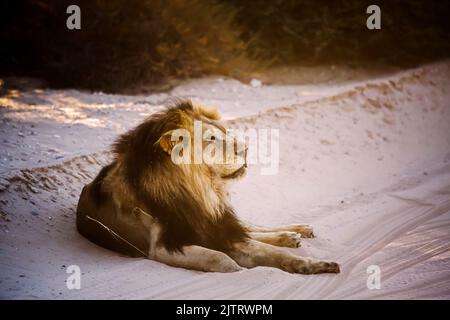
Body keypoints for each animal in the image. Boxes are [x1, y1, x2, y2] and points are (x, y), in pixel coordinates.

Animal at [76, 101, 342, 274]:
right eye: (211, 139)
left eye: (222, 132)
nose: (246, 148)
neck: (200, 190)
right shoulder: (162, 246)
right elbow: (219, 258)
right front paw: (238, 269)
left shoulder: (215, 225)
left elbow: (269, 251)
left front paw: (317, 265)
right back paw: (291, 236)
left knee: (252, 227)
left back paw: (295, 232)